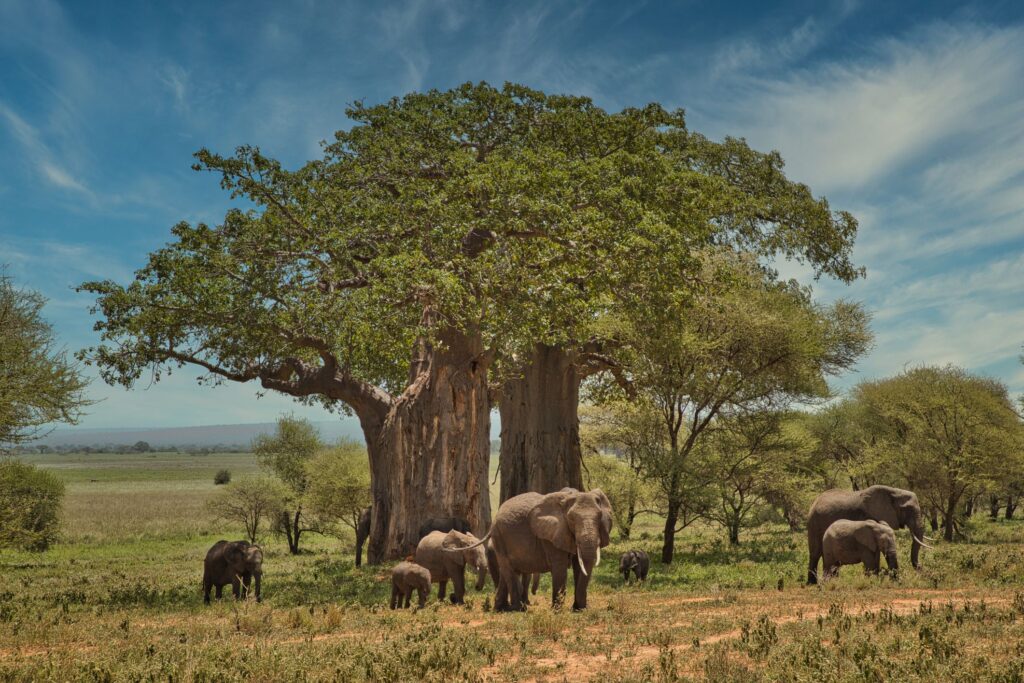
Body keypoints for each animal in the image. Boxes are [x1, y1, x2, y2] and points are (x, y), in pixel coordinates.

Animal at [461, 488, 613, 612]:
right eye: (571, 519)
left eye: (600, 517)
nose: (579, 607)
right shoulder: (551, 535)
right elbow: (560, 567)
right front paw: (557, 611)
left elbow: (578, 565)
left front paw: (579, 609)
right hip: (499, 536)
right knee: (508, 568)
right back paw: (517, 609)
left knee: (506, 571)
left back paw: (501, 609)